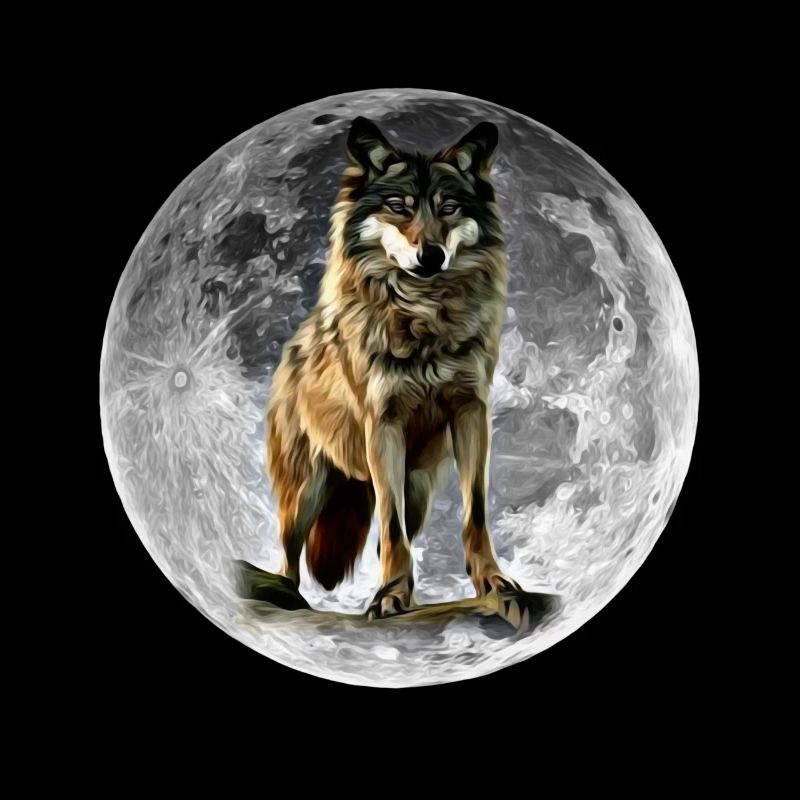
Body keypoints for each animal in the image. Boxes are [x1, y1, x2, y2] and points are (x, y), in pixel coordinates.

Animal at [265, 116, 520, 618]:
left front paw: (492, 581)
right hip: (306, 490)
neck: (425, 317)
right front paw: (391, 595)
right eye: (398, 207)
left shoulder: (471, 413)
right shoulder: (382, 424)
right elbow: (389, 522)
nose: (431, 255)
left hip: (417, 488)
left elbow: (475, 511)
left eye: (448, 207)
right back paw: (286, 596)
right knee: (288, 551)